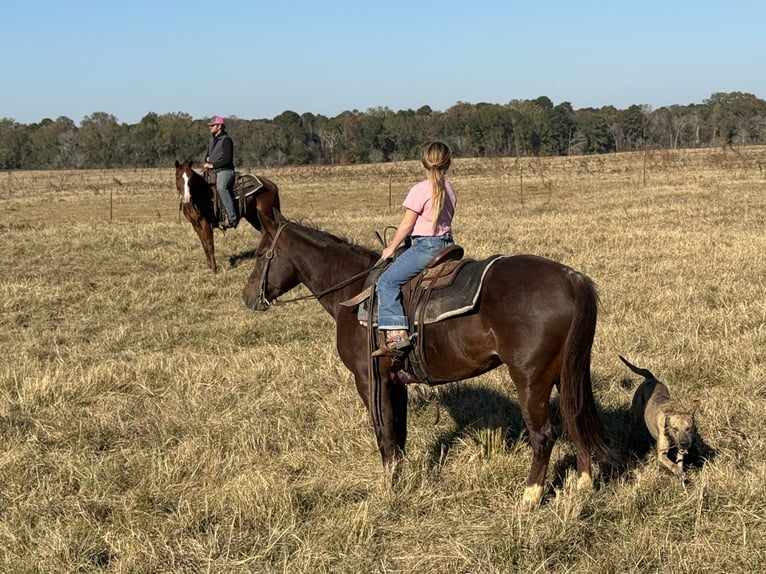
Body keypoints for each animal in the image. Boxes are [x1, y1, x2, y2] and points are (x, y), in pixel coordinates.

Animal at [243, 210, 616, 504]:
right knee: (575, 417)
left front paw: (390, 485)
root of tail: (571, 279)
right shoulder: (396, 381)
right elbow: (399, 431)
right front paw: (401, 476)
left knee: (543, 435)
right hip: (564, 374)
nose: (248, 297)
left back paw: (530, 497)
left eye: (261, 254)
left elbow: (384, 431)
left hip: (530, 379)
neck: (354, 294)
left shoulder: (369, 380)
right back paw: (584, 483)